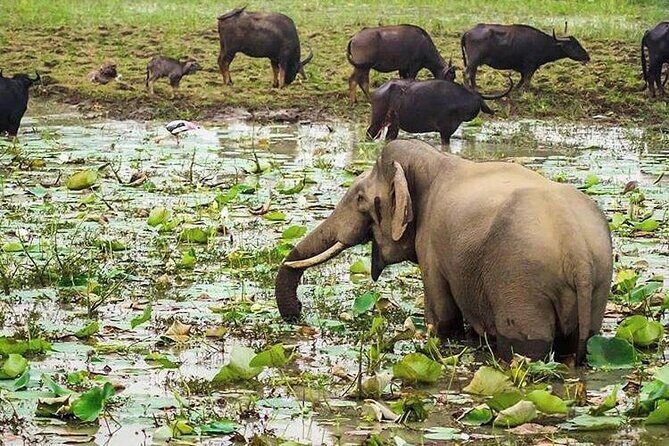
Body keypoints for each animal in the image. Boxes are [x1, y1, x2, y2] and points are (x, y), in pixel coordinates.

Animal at [275, 140, 613, 364]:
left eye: (360, 199)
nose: (299, 311)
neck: (435, 160)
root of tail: (578, 255)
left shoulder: (432, 247)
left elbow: (442, 316)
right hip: (597, 286)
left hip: (522, 286)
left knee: (526, 348)